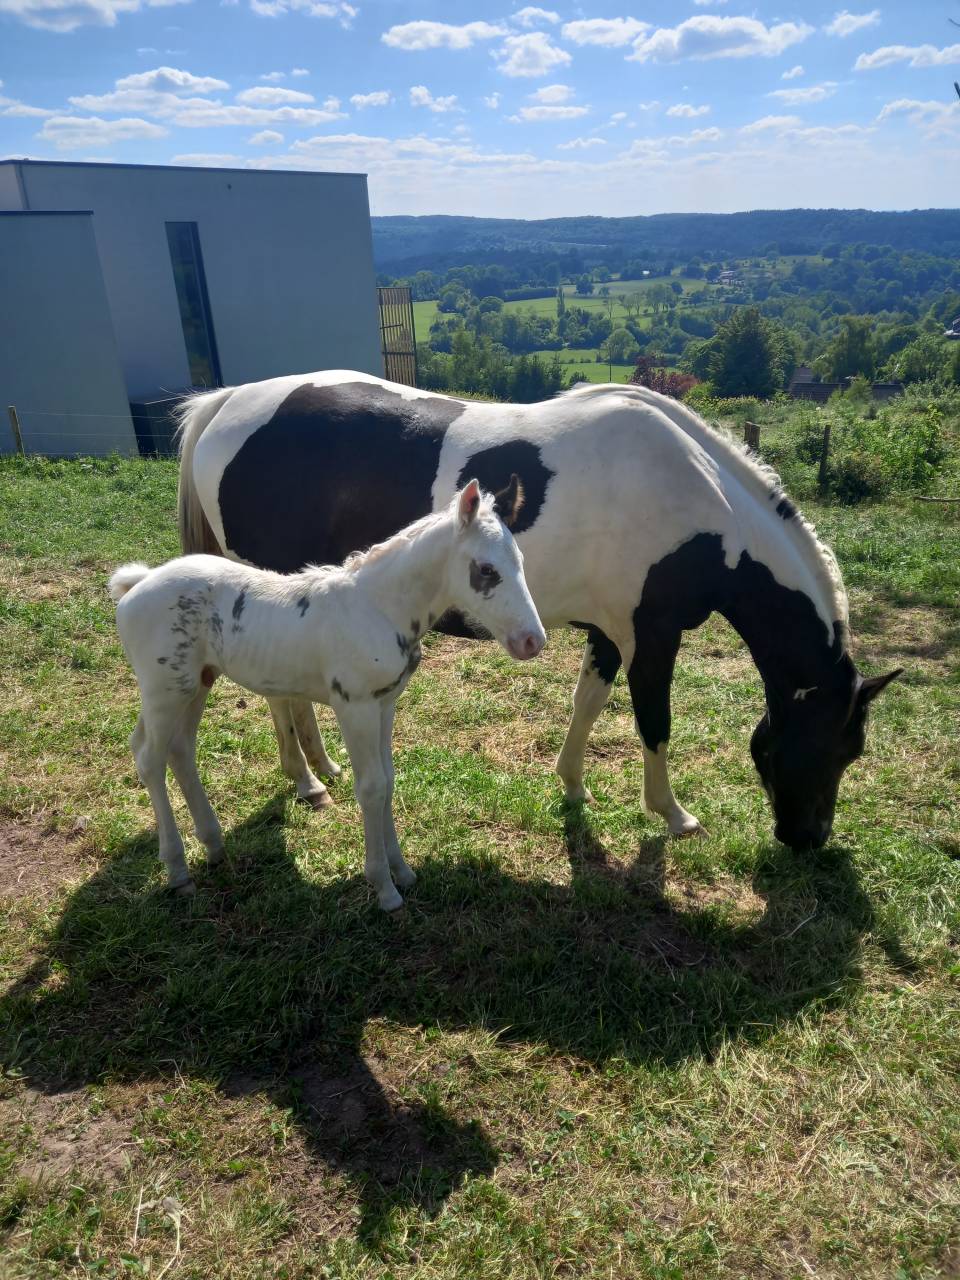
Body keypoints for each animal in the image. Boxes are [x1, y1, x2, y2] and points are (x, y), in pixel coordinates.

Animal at [109, 479, 545, 909]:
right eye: (486, 570)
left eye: (521, 561)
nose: (532, 641)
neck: (378, 607)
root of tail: (136, 587)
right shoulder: (355, 706)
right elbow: (370, 787)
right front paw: (384, 888)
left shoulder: (385, 704)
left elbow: (387, 780)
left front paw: (402, 871)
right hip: (164, 689)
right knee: (149, 759)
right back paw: (177, 869)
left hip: (197, 682)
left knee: (180, 750)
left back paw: (213, 844)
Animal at [176, 371, 901, 852]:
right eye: (844, 747)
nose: (810, 839)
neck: (699, 500)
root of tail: (229, 403)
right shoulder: (653, 637)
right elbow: (654, 724)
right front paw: (671, 813)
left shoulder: (609, 633)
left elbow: (589, 703)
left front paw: (573, 782)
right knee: (278, 695)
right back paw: (304, 780)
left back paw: (320, 769)